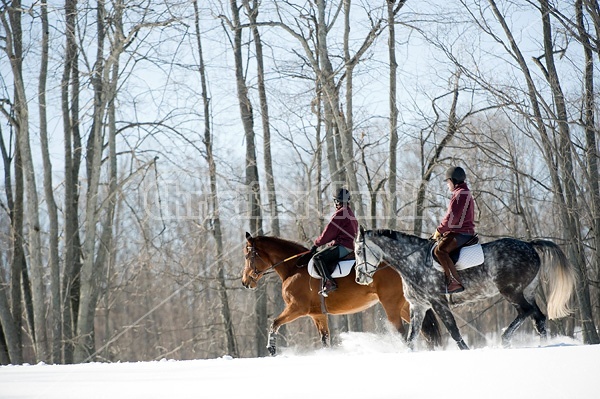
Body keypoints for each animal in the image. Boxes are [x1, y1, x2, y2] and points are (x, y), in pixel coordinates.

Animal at [239, 233, 440, 358]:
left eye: (248, 256)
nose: (245, 282)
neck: (293, 268)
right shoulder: (318, 315)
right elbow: (325, 340)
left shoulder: (296, 308)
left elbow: (274, 323)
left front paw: (271, 349)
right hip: (405, 305)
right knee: (423, 330)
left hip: (391, 304)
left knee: (402, 331)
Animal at [352, 228, 576, 350]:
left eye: (359, 250)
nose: (359, 278)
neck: (413, 261)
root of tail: (529, 245)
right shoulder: (418, 306)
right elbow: (411, 338)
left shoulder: (438, 303)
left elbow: (453, 331)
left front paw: (466, 350)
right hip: (527, 291)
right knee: (539, 318)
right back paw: (543, 345)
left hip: (511, 291)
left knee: (527, 312)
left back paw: (505, 339)